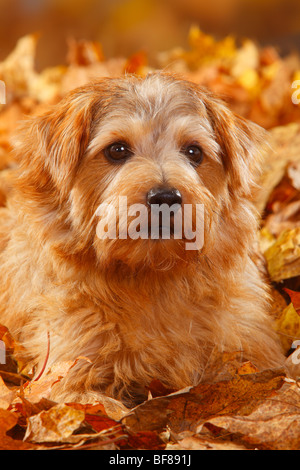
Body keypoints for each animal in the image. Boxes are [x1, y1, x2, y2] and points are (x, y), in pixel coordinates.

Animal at [0, 72, 286, 404]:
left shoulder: (255, 352)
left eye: (194, 152)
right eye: (117, 150)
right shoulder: (67, 372)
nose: (165, 197)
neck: (153, 277)